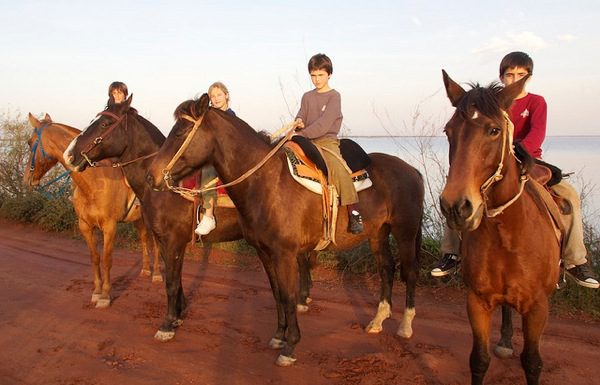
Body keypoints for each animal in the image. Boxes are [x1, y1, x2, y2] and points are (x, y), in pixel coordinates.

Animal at [23, 112, 162, 308]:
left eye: (30, 142)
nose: (26, 178)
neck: (93, 182)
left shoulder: (110, 227)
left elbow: (106, 259)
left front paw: (105, 296)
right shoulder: (85, 226)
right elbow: (95, 258)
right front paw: (96, 291)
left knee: (156, 244)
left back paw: (156, 274)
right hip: (138, 219)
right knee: (144, 239)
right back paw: (145, 270)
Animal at [139, 94, 422, 364]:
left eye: (180, 133)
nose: (152, 177)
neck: (268, 182)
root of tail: (413, 170)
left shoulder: (284, 254)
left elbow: (288, 295)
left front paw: (290, 346)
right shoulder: (265, 252)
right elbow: (277, 294)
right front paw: (278, 336)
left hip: (405, 232)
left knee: (409, 272)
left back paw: (406, 325)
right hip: (378, 233)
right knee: (386, 268)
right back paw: (378, 321)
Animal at [438, 70, 560, 384]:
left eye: (493, 130)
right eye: (448, 131)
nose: (455, 206)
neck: (507, 232)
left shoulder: (538, 307)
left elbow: (532, 362)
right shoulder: (477, 301)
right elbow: (479, 360)